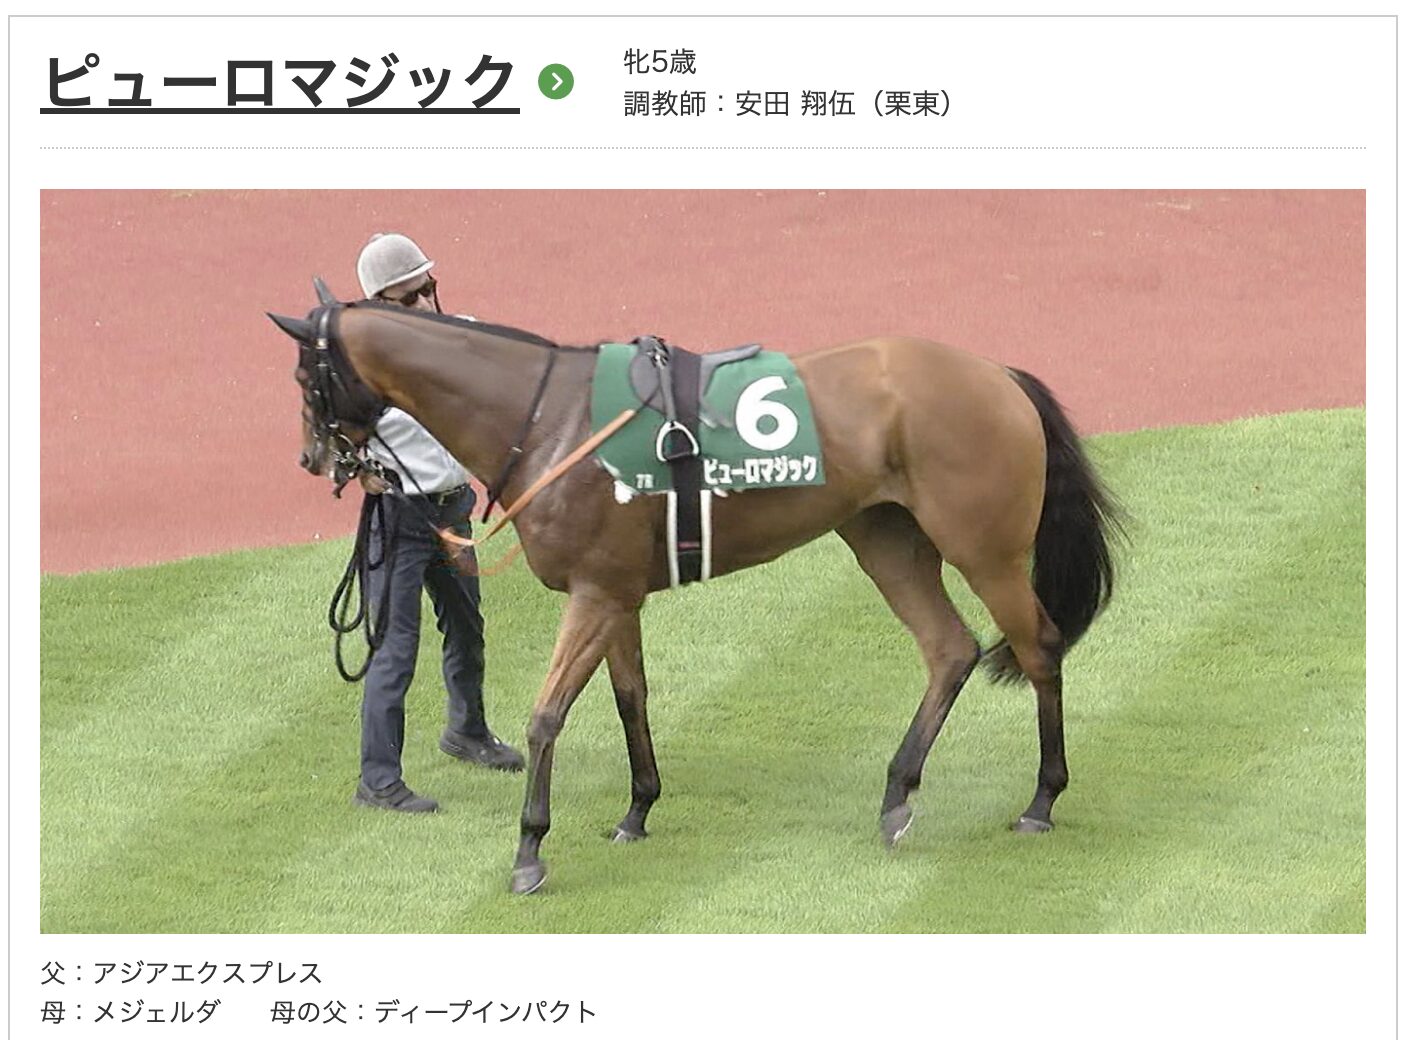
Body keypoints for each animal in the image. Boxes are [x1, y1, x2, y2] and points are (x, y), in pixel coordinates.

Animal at [269, 289, 1122, 896]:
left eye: (307, 375)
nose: (312, 458)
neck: (545, 417)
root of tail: (998, 374)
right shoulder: (617, 593)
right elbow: (629, 699)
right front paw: (637, 810)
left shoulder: (594, 593)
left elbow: (547, 716)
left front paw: (531, 850)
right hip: (884, 537)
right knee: (949, 650)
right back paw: (897, 796)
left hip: (985, 548)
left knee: (1038, 647)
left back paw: (1041, 800)